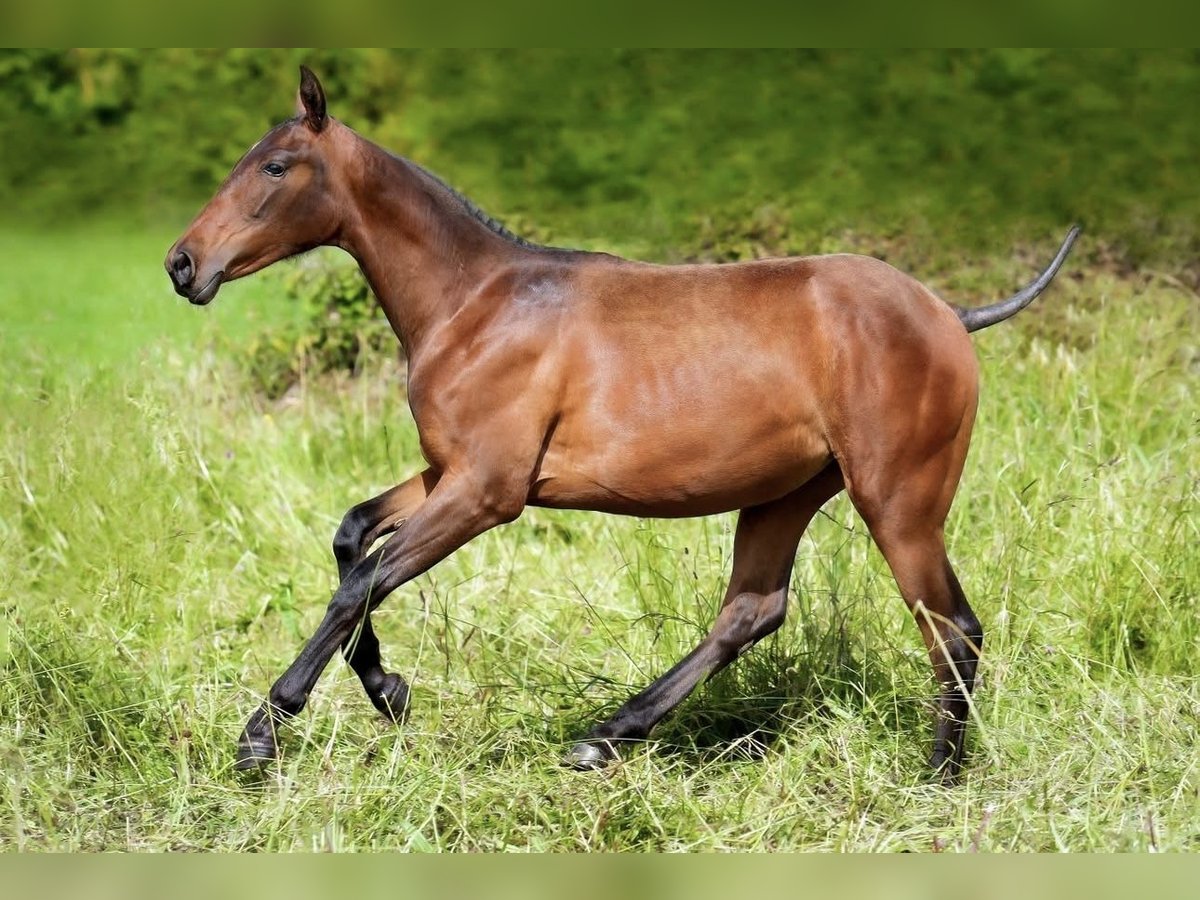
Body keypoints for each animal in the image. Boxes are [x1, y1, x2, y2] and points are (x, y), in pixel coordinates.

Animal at [164, 66, 1075, 782]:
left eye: (274, 166)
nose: (182, 264)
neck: (476, 302)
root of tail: (950, 315)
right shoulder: (452, 472)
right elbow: (353, 538)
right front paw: (389, 692)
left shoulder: (486, 492)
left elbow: (361, 581)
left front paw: (263, 735)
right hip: (787, 494)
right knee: (752, 611)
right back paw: (604, 738)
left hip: (897, 499)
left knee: (951, 628)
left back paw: (939, 775)